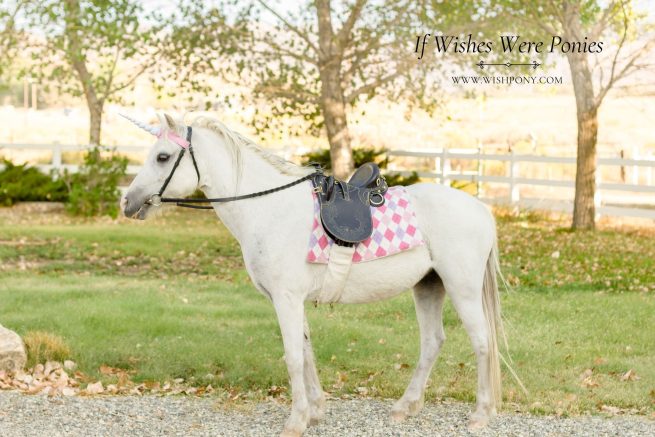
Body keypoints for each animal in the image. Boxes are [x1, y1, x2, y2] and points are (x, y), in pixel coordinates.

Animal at [121, 113, 507, 437]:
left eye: (163, 157)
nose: (127, 201)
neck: (269, 209)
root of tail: (481, 209)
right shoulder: (293, 301)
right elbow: (306, 352)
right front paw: (315, 410)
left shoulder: (286, 299)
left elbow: (293, 357)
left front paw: (296, 421)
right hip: (428, 287)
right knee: (432, 342)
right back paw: (405, 406)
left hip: (461, 288)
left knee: (482, 342)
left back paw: (480, 414)